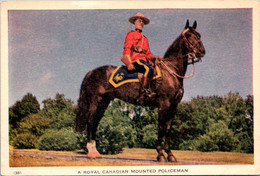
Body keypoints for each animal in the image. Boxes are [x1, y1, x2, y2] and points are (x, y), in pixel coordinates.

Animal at [74, 20, 205, 162]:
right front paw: (160, 154)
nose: (202, 51)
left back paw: (96, 151)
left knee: (95, 123)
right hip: (94, 101)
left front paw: (170, 155)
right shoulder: (164, 105)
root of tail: (91, 72)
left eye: (199, 35)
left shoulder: (173, 106)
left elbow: (168, 129)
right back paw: (91, 152)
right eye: (189, 36)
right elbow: (160, 127)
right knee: (90, 122)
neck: (171, 71)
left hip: (103, 103)